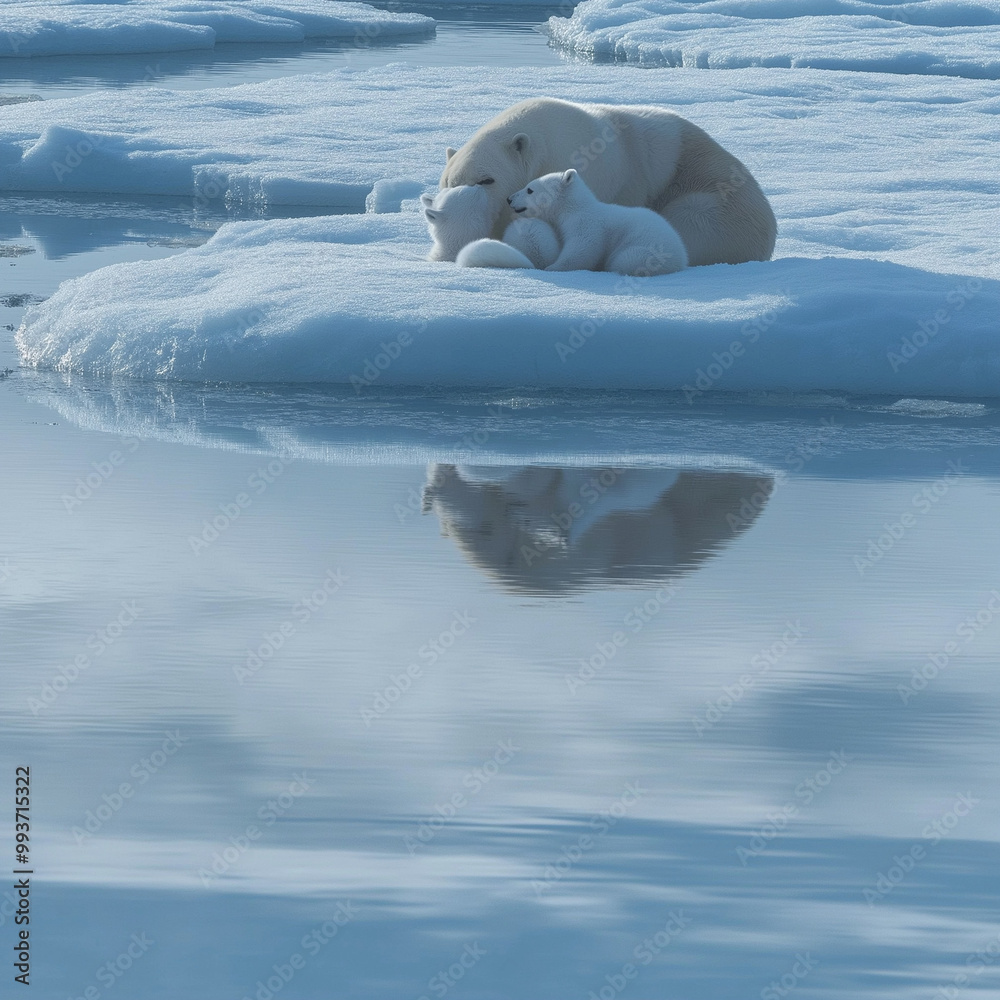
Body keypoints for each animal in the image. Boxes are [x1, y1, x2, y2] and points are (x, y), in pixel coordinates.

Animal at [508, 168, 688, 276]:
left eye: (530, 189)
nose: (509, 199)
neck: (572, 208)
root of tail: (681, 260)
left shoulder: (586, 223)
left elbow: (583, 247)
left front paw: (553, 267)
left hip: (646, 250)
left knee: (627, 260)